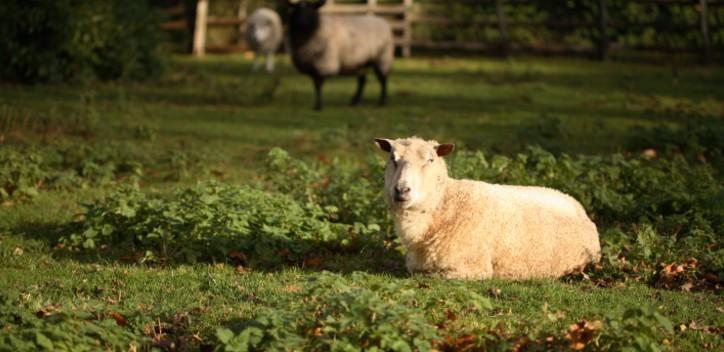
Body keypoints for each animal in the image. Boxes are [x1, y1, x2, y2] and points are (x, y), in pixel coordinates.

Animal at [374, 136, 600, 280]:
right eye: (392, 159)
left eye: (430, 160)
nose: (402, 190)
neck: (446, 206)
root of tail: (582, 210)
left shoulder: (472, 269)